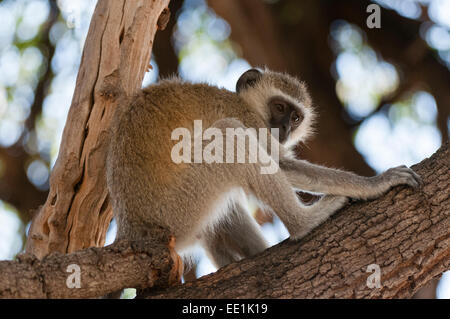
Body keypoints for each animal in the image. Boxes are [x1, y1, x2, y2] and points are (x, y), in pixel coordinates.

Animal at [106, 67, 422, 270]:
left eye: (295, 117)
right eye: (279, 107)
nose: (283, 129)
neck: (243, 102)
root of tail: (132, 229)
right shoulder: (249, 119)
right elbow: (281, 163)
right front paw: (377, 182)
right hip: (177, 210)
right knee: (230, 135)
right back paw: (304, 222)